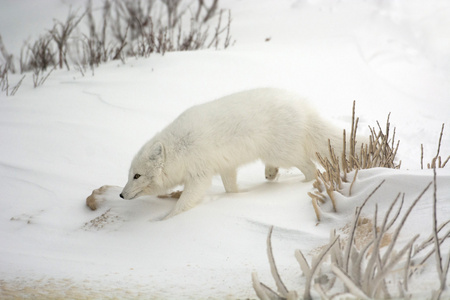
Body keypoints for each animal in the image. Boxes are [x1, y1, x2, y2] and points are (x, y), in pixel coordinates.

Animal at [122, 88, 352, 217]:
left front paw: (167, 219)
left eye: (137, 176)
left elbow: (184, 203)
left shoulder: (200, 175)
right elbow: (230, 188)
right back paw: (271, 174)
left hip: (282, 153)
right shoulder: (226, 166)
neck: (181, 148)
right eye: (130, 175)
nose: (121, 194)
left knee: (311, 169)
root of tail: (303, 107)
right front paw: (237, 197)